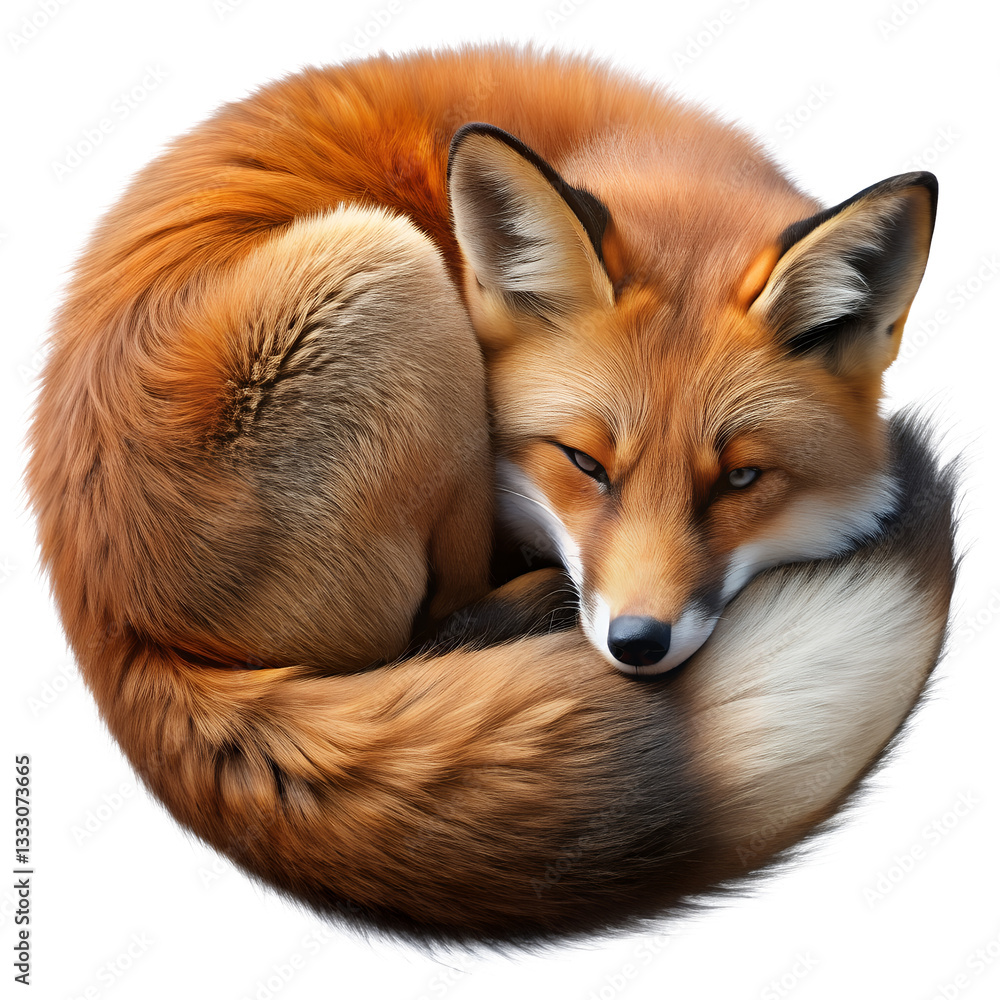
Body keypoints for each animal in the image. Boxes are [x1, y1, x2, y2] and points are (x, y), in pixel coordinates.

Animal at [27, 45, 957, 946]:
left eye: (739, 479)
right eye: (585, 463)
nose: (637, 644)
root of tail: (110, 619)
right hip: (385, 269)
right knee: (431, 630)